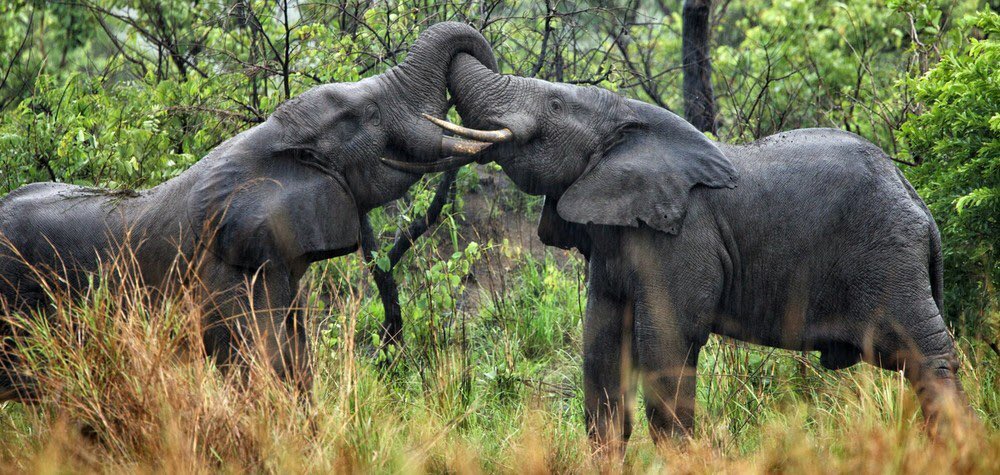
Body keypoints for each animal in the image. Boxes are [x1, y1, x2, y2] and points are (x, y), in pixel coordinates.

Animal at [384, 52, 969, 451]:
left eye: (554, 104)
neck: (632, 121)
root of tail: (919, 201)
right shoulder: (615, 242)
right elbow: (601, 359)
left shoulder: (682, 239)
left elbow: (666, 350)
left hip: (889, 256)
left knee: (928, 357)